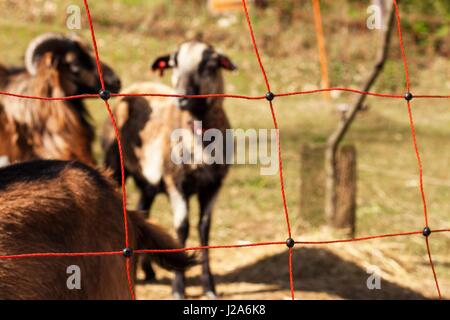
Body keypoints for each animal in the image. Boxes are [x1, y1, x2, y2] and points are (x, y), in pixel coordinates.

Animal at [102, 41, 236, 298]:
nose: (182, 99)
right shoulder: (176, 183)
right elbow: (182, 229)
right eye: (175, 64)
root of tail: (136, 86)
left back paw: (148, 270)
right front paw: (178, 287)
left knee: (143, 211)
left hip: (148, 181)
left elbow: (204, 229)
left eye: (210, 65)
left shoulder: (213, 185)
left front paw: (209, 287)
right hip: (115, 164)